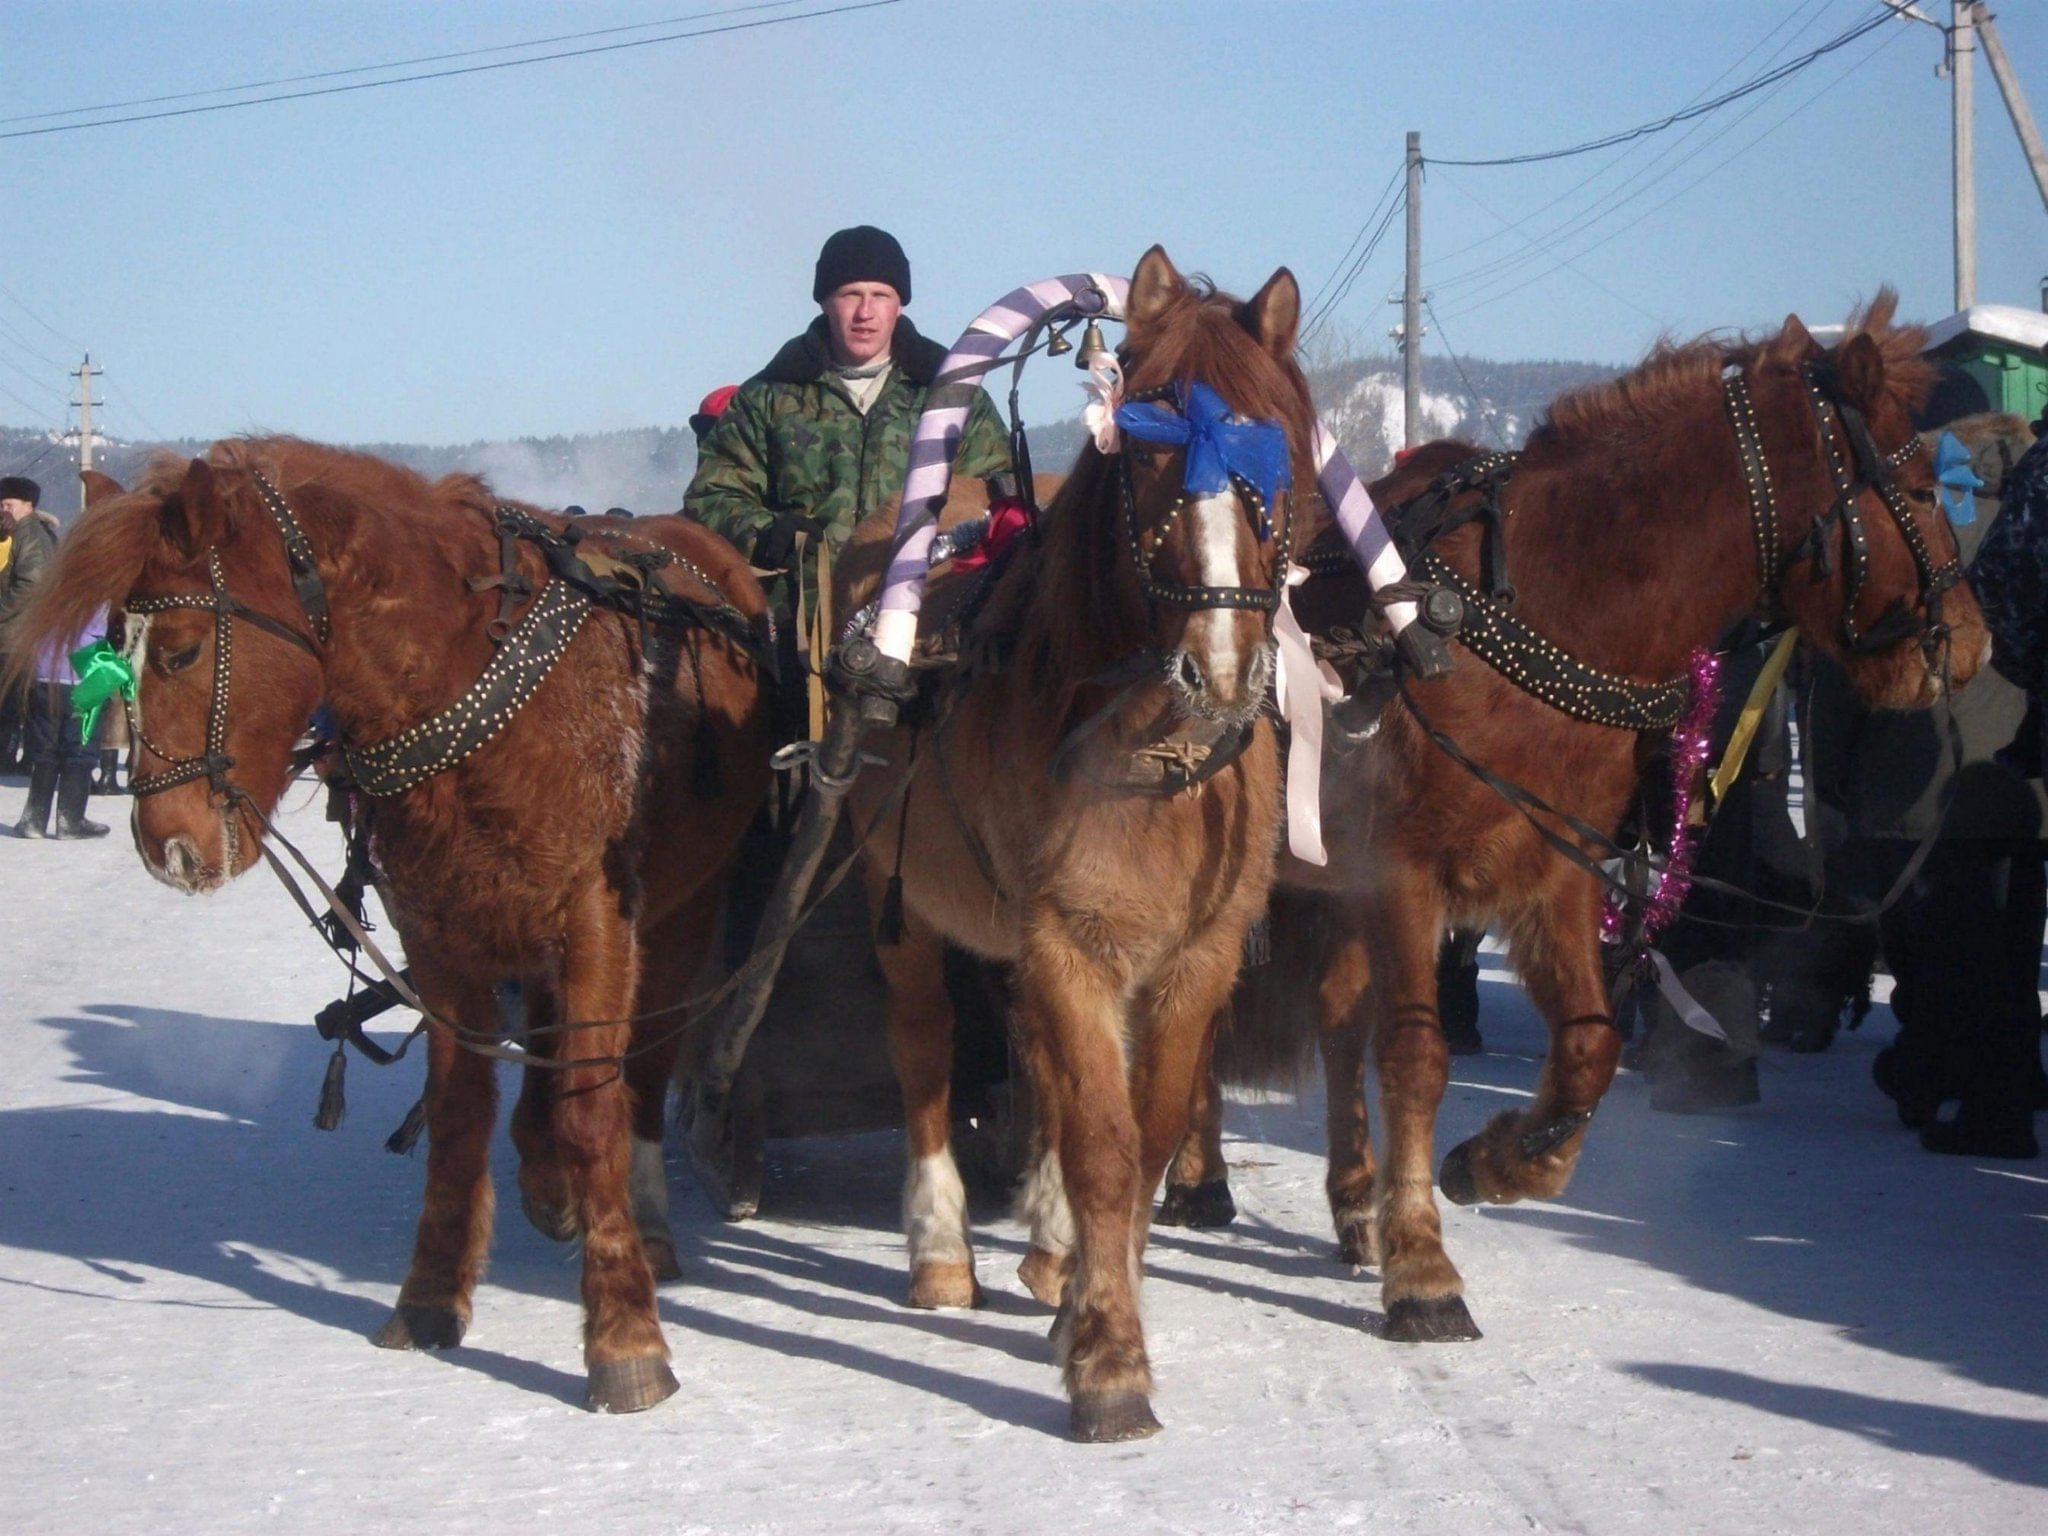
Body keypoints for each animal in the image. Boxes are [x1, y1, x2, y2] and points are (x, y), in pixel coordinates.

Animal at [6, 438, 774, 1417]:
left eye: (179, 652)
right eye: (110, 655)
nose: (167, 848)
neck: (468, 675)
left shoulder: (599, 918)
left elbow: (592, 1105)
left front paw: (624, 1337)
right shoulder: (438, 931)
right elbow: (457, 1110)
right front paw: (432, 1296)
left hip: (684, 912)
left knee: (642, 1061)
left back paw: (641, 1215)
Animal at [831, 249, 1310, 1441]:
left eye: (1275, 446)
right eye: (1142, 448)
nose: (1218, 666)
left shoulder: (1193, 961)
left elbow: (1148, 1134)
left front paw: (1086, 1294)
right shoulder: (1069, 944)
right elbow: (1102, 1144)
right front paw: (1107, 1360)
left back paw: (1047, 1252)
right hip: (900, 906)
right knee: (923, 1048)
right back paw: (942, 1251)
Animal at [1171, 294, 1982, 1343]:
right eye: (1921, 490)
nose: (1972, 645)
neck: (1531, 616)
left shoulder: (1553, 871)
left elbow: (1590, 1048)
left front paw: (1500, 1162)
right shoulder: (1405, 878)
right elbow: (1417, 1057)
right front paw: (1423, 1268)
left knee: (1337, 1029)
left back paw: (1352, 1204)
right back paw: (1201, 1177)